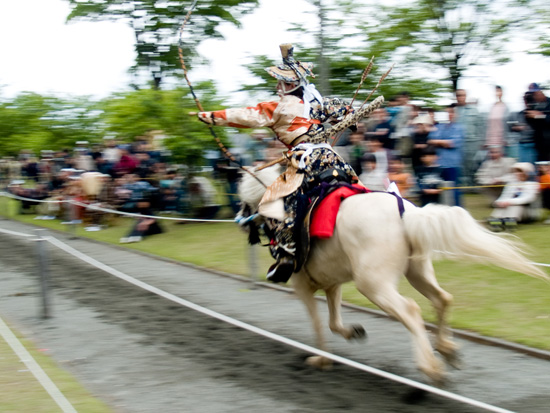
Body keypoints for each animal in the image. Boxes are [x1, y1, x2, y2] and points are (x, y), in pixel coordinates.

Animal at [239, 166, 548, 382]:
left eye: (244, 199)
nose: (241, 219)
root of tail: (407, 214)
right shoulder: (333, 284)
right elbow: (333, 322)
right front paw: (352, 333)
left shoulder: (303, 286)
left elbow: (318, 324)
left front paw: (322, 360)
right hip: (417, 271)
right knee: (442, 299)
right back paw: (447, 350)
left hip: (373, 283)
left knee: (411, 311)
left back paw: (431, 367)